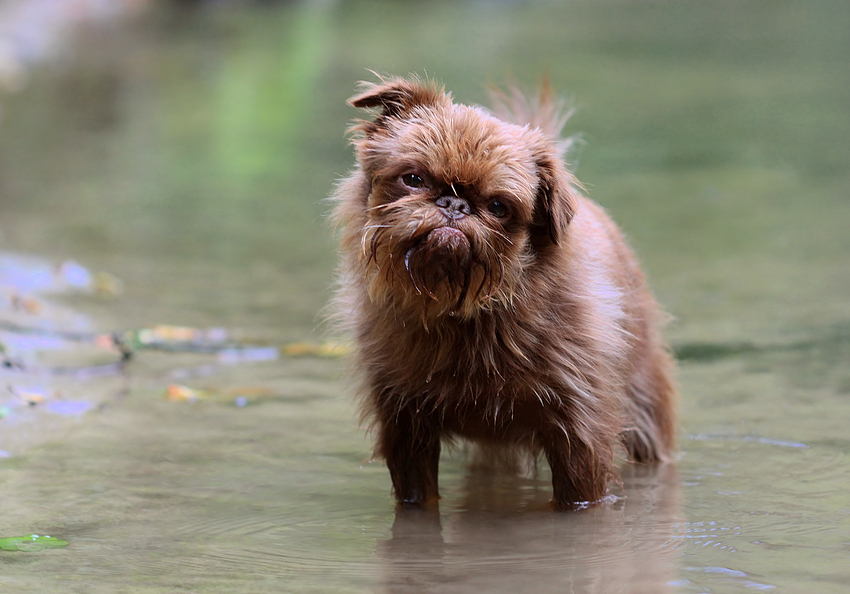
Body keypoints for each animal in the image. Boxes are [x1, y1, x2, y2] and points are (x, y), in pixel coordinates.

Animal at [328, 75, 672, 508]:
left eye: (498, 207)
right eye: (414, 179)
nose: (454, 203)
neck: (460, 314)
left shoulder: (580, 433)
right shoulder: (406, 426)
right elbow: (417, 496)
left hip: (643, 408)